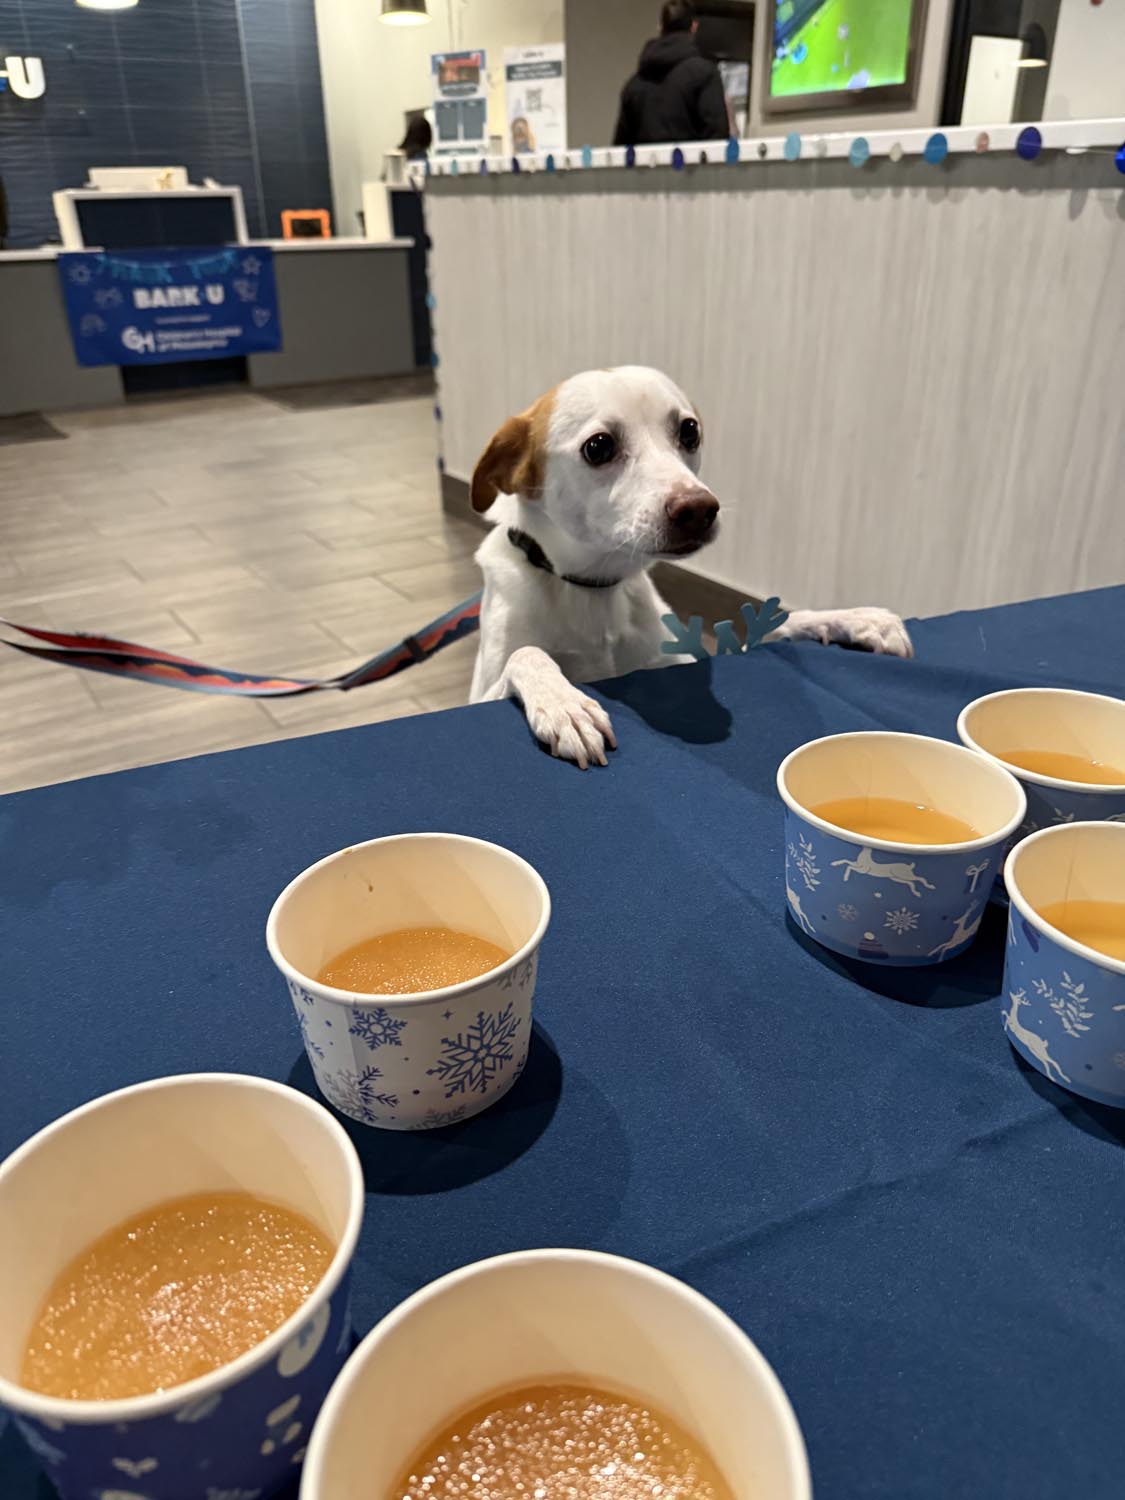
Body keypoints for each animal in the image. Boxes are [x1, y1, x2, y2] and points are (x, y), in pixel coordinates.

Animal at [469, 366, 911, 767]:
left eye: (689, 432)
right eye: (598, 447)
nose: (699, 509)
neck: (591, 587)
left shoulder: (676, 659)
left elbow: (774, 627)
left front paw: (854, 619)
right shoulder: (485, 690)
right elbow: (526, 653)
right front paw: (564, 704)